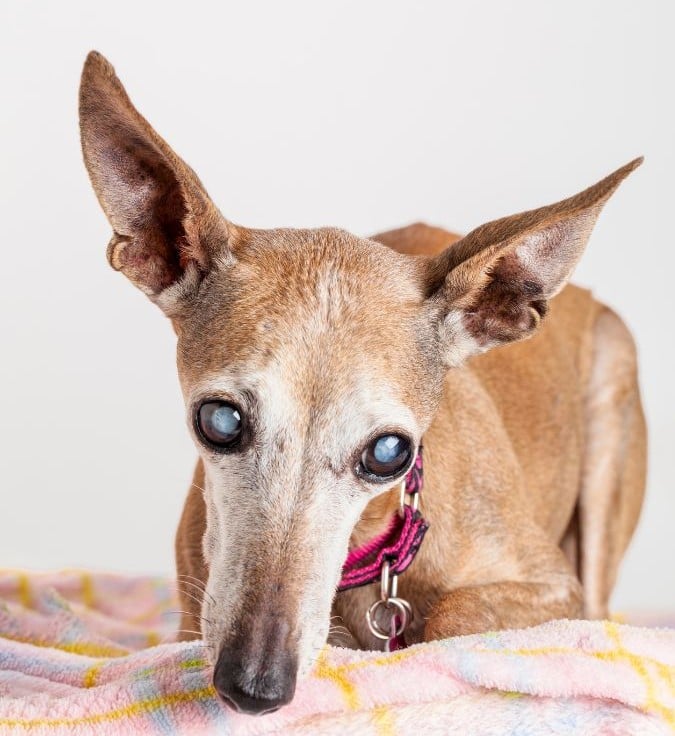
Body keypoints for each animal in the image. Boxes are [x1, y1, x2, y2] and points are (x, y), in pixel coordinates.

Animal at [76, 50, 648, 712]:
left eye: (389, 453)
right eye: (219, 420)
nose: (255, 685)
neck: (373, 550)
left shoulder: (557, 586)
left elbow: (454, 618)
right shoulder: (193, 622)